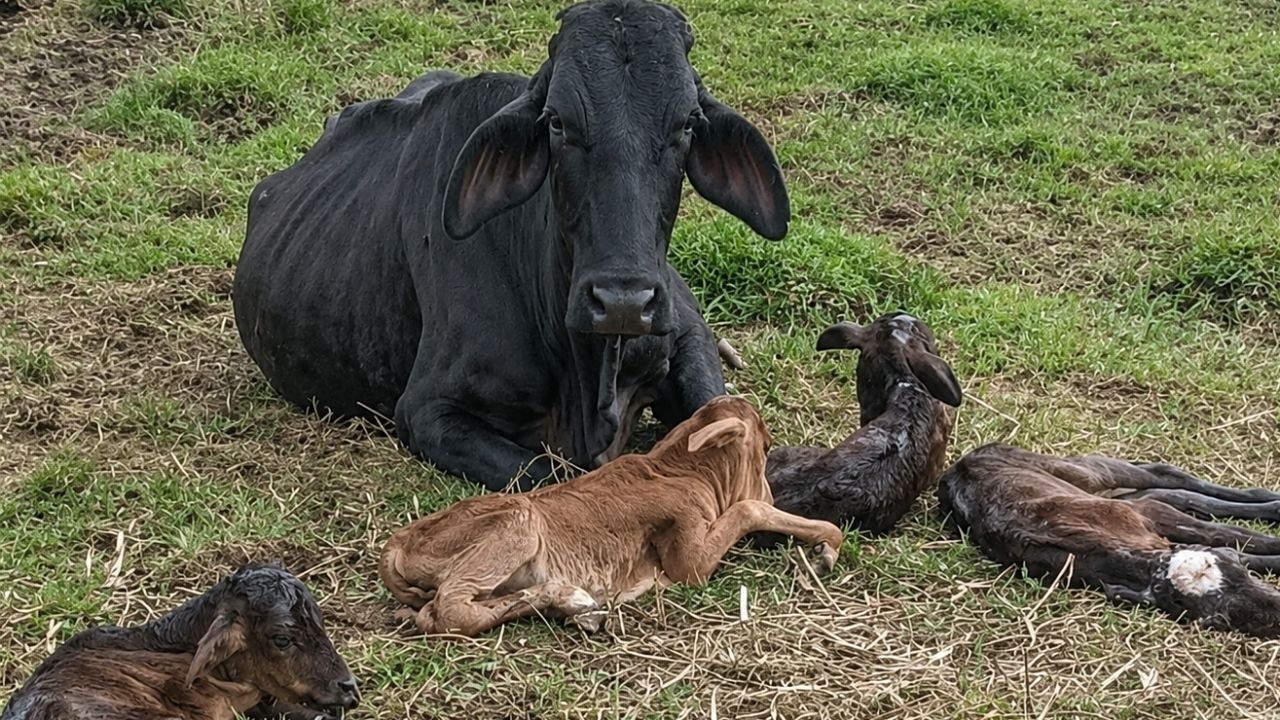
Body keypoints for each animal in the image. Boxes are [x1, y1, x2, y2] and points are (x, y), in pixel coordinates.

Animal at [233, 0, 790, 492]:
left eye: (688, 123)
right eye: (557, 121)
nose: (623, 302)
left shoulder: (688, 338)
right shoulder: (426, 410)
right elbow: (557, 479)